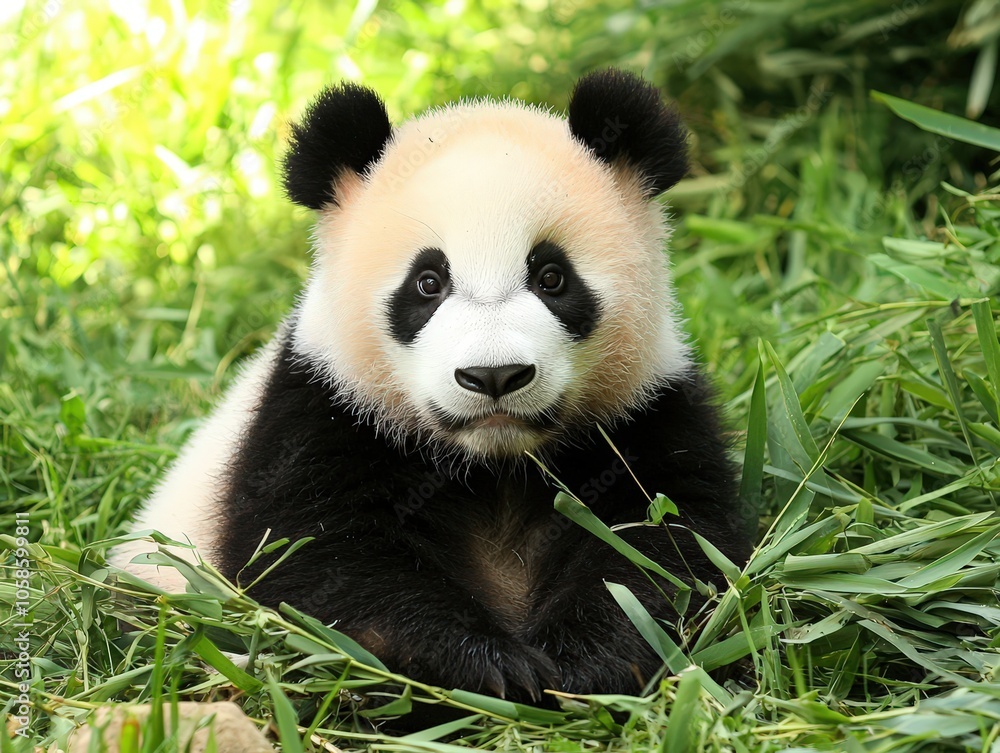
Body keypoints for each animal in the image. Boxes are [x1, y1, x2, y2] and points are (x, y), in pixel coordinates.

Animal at [114, 69, 750, 703]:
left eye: (552, 277)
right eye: (427, 282)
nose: (494, 376)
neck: (494, 465)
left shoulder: (646, 411)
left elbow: (664, 547)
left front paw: (585, 666)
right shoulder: (319, 412)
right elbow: (322, 566)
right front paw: (488, 667)